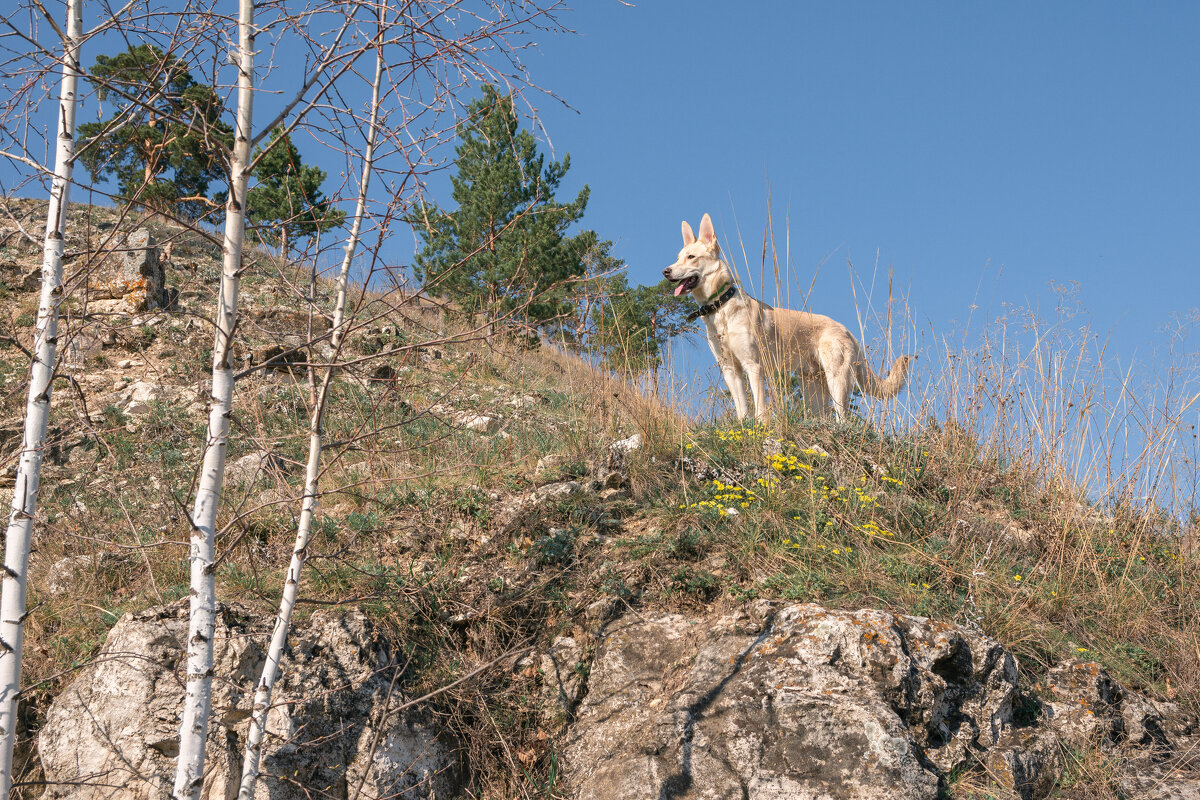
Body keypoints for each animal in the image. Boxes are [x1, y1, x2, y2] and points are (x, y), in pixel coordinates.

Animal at [662, 212, 912, 424]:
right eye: (677, 258)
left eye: (691, 257)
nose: (665, 271)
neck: (720, 308)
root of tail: (846, 329)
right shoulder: (730, 369)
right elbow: (742, 409)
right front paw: (744, 428)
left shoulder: (753, 366)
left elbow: (760, 409)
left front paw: (761, 428)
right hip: (813, 389)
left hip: (837, 380)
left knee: (842, 418)